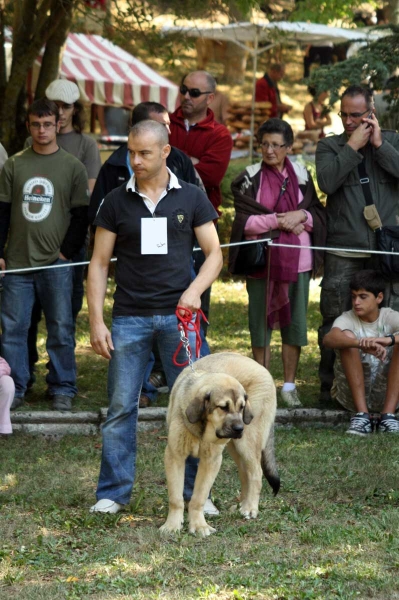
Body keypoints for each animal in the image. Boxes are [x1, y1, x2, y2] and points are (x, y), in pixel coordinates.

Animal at [160, 352, 282, 536]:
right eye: (223, 407)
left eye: (241, 407)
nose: (239, 428)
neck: (203, 428)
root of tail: (263, 368)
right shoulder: (175, 456)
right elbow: (176, 497)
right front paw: (172, 525)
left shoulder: (211, 461)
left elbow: (199, 497)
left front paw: (199, 526)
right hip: (235, 447)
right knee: (245, 472)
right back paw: (242, 505)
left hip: (247, 443)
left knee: (256, 473)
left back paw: (250, 508)